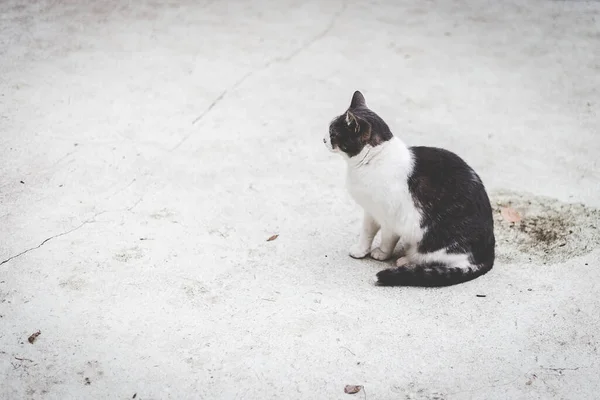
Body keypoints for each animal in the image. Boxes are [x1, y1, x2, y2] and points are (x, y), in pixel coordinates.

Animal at [326, 90, 494, 286]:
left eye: (332, 132)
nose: (323, 139)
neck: (373, 160)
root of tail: (488, 253)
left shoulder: (390, 219)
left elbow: (387, 239)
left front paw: (381, 253)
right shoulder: (371, 211)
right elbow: (367, 232)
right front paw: (361, 250)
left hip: (436, 242)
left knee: (436, 261)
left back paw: (406, 261)